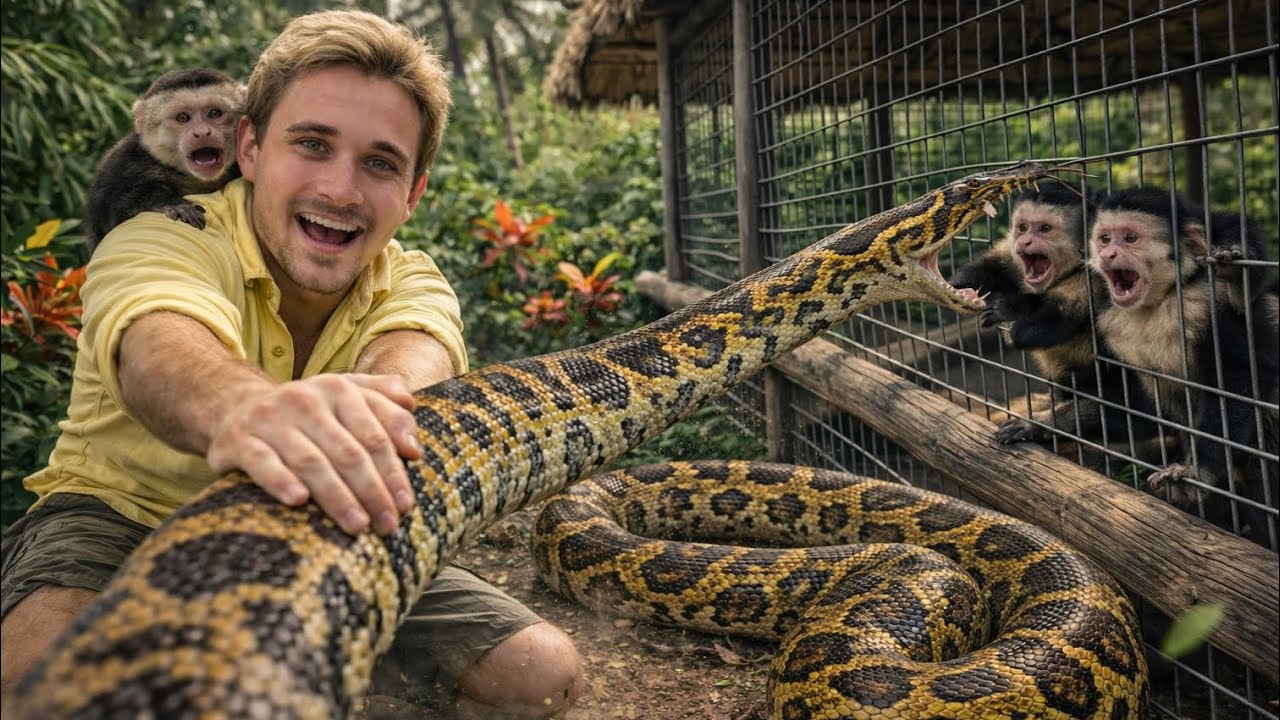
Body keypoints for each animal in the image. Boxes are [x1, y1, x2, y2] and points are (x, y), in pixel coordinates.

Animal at [84, 67, 246, 254]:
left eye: (214, 113)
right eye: (183, 118)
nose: (202, 133)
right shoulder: (122, 162)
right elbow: (110, 213)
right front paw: (170, 203)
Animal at [950, 180, 1156, 448]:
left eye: (1045, 229)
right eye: (1023, 228)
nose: (1025, 242)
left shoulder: (1094, 274)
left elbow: (1052, 323)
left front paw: (1011, 307)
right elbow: (995, 267)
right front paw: (953, 286)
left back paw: (1050, 423)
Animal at [1089, 187, 1279, 543]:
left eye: (1130, 238)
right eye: (1104, 239)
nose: (1107, 255)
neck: (1159, 302)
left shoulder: (1206, 301)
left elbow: (1242, 375)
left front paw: (1198, 470)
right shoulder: (1112, 323)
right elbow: (1147, 406)